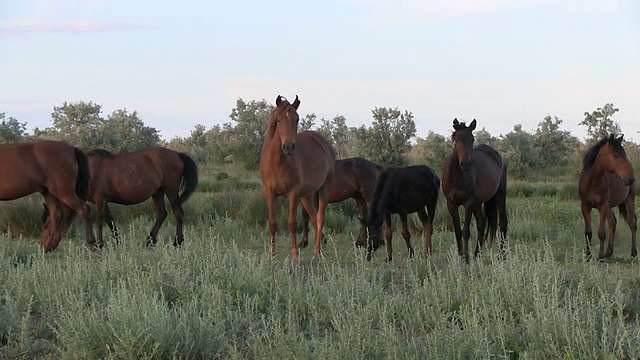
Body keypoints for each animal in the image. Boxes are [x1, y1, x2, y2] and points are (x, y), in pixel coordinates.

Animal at [258, 94, 338, 260]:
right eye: (279, 120)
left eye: (297, 119)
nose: (288, 146)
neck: (277, 162)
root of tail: (324, 143)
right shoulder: (269, 193)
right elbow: (272, 223)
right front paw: (271, 254)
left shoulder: (293, 194)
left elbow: (292, 224)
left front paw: (295, 255)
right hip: (306, 196)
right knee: (313, 219)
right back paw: (318, 249)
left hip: (324, 189)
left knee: (320, 218)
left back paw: (316, 253)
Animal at [442, 119, 508, 262]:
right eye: (456, 139)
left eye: (472, 139)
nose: (465, 163)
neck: (457, 176)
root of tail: (499, 156)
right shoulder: (451, 204)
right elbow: (457, 231)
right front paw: (461, 257)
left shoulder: (468, 203)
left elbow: (466, 231)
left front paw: (466, 258)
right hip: (477, 203)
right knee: (481, 223)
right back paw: (477, 254)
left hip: (499, 196)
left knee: (503, 223)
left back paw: (502, 255)